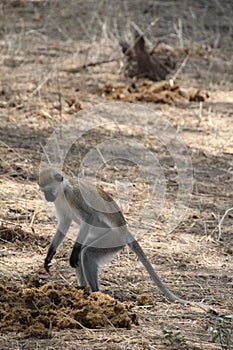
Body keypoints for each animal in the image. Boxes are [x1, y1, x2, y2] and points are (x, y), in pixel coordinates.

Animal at [38, 167, 215, 312]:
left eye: (48, 190)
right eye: (43, 191)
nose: (47, 197)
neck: (62, 191)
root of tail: (124, 230)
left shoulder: (74, 196)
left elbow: (89, 217)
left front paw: (73, 251)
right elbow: (64, 224)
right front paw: (49, 255)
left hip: (113, 239)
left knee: (86, 254)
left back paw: (95, 294)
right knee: (84, 254)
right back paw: (83, 292)